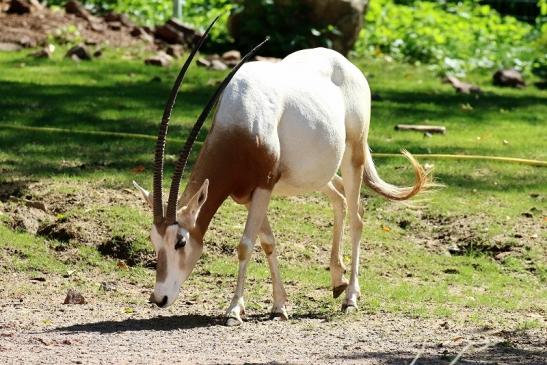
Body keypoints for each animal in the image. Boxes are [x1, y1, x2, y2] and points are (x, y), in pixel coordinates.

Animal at [133, 19, 428, 324]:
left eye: (180, 241)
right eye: (154, 239)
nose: (159, 298)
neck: (241, 119)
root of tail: (347, 65)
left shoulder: (264, 185)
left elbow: (245, 245)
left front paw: (234, 310)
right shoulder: (248, 193)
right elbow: (267, 242)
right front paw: (279, 305)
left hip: (352, 155)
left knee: (357, 216)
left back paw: (350, 298)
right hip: (317, 174)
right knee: (340, 198)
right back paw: (338, 281)